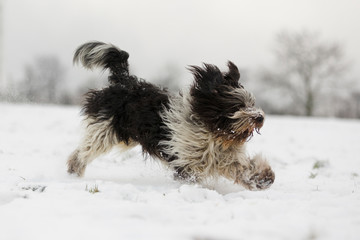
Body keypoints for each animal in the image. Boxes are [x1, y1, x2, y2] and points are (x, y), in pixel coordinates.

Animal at [68, 41, 276, 191]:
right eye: (237, 106)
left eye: (251, 103)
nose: (260, 117)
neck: (212, 132)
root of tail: (124, 81)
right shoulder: (186, 159)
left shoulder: (221, 156)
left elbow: (239, 168)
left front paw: (262, 178)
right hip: (103, 129)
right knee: (82, 152)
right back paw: (73, 172)